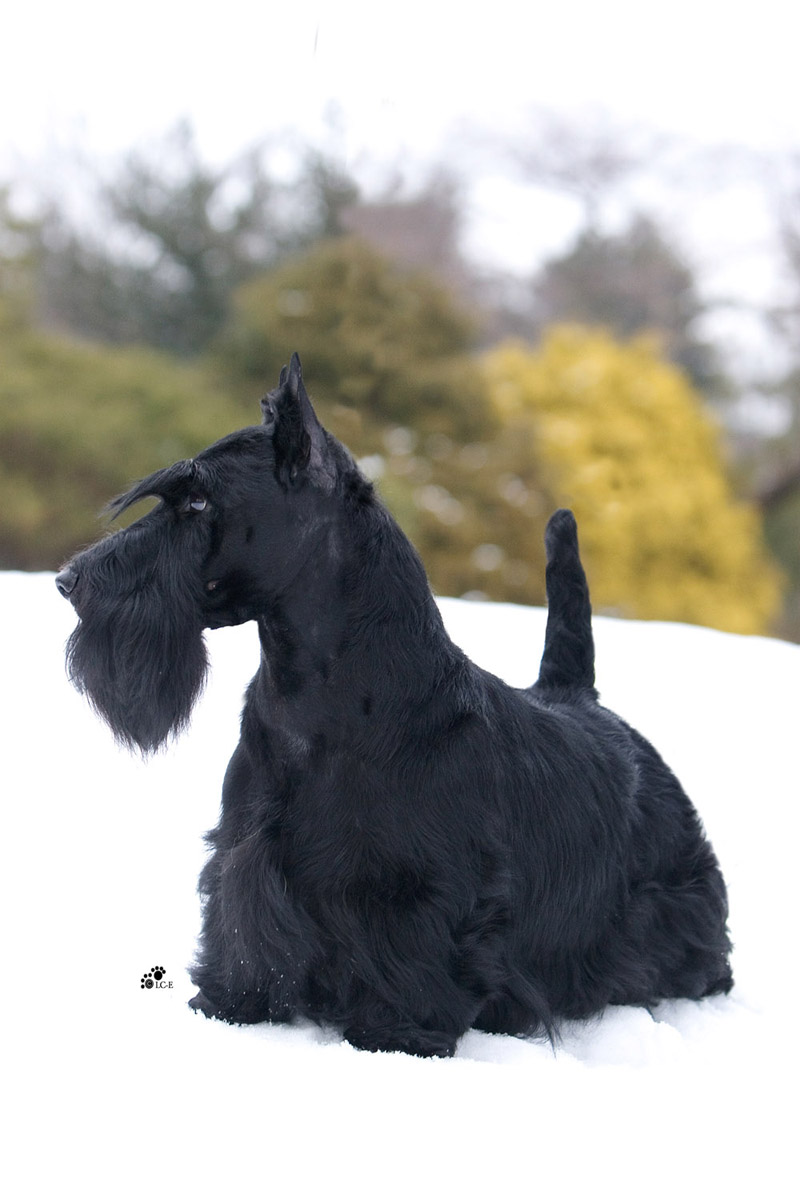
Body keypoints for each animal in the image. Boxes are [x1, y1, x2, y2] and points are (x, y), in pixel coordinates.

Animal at [56, 353, 733, 1057]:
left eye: (198, 500)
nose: (70, 581)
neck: (320, 705)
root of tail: (579, 696)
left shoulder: (417, 893)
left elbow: (411, 964)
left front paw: (396, 1031)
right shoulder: (246, 854)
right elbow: (242, 927)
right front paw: (229, 1003)